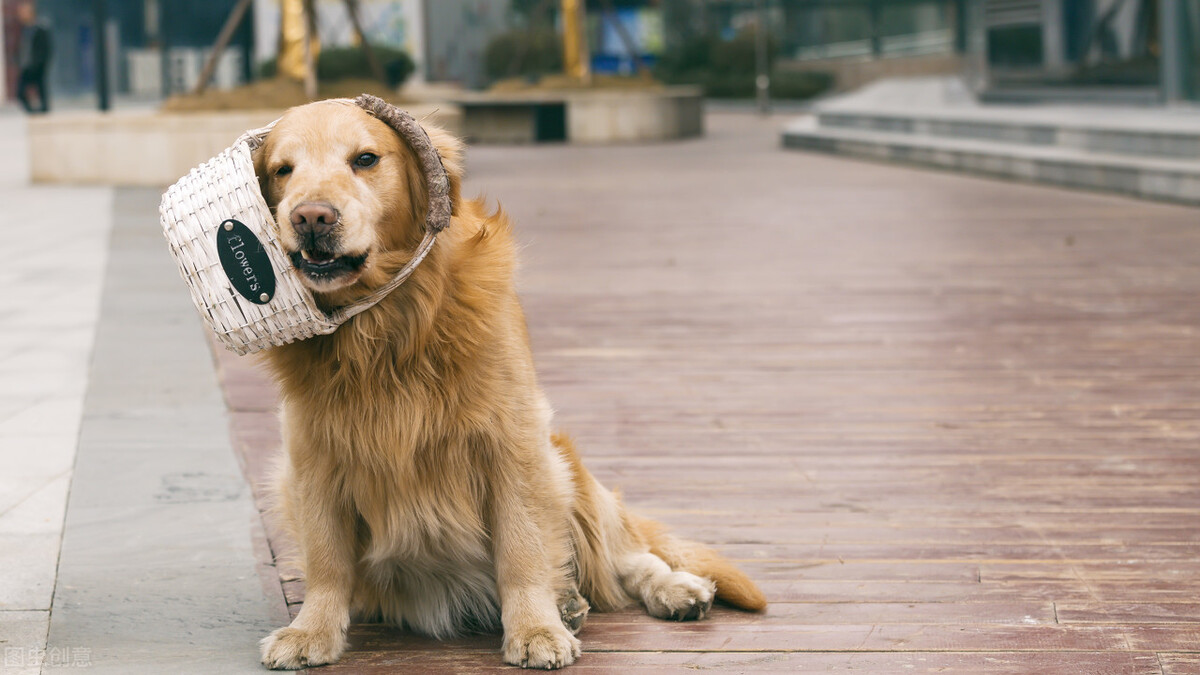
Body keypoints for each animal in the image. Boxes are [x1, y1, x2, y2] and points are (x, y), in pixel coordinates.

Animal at [250, 96, 768, 667]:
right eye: (282, 170)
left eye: (365, 159)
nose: (310, 217)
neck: (388, 328)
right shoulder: (310, 455)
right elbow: (326, 560)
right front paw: (310, 631)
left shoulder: (512, 441)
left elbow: (522, 549)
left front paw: (536, 628)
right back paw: (572, 603)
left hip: (566, 464)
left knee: (629, 558)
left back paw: (669, 591)